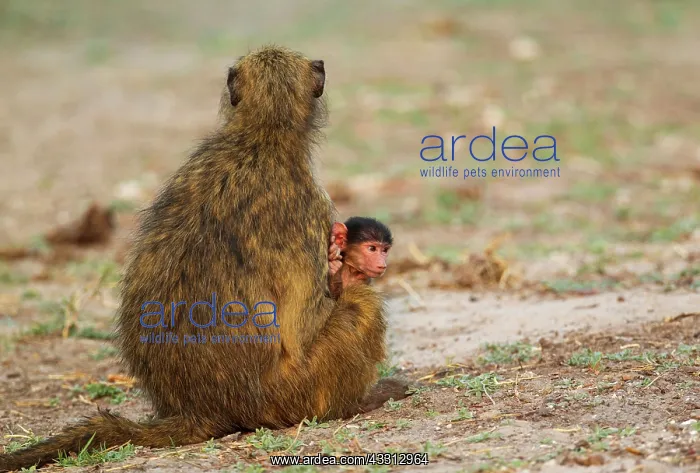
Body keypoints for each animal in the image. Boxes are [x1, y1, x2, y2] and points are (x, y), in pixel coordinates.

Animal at [0, 45, 412, 472]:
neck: (260, 137)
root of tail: (198, 410)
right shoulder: (312, 204)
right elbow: (303, 328)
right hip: (293, 393)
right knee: (364, 304)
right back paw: (363, 399)